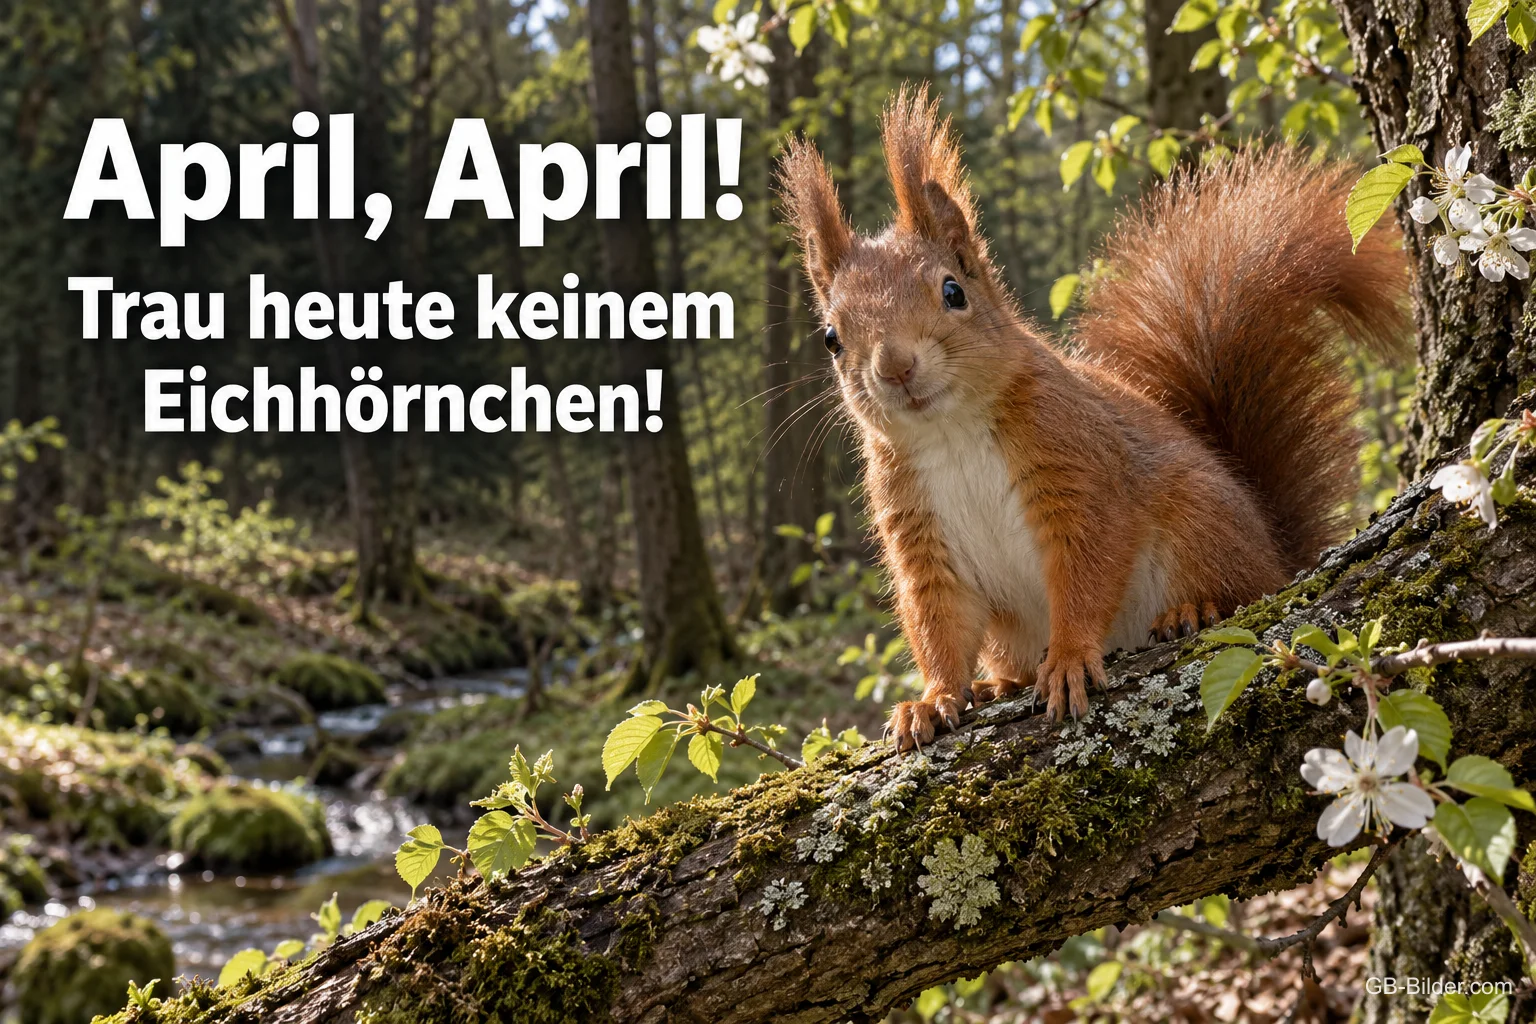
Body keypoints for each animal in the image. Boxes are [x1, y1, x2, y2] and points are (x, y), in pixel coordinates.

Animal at [777, 85, 1410, 751]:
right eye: (830, 338)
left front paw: (1070, 659)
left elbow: (1089, 569)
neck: (951, 432)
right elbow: (938, 623)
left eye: (953, 292)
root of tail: (1279, 555)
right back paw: (997, 683)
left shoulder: (1078, 464)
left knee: (1238, 584)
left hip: (1203, 520)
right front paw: (933, 699)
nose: (895, 366)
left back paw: (1195, 608)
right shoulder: (916, 528)